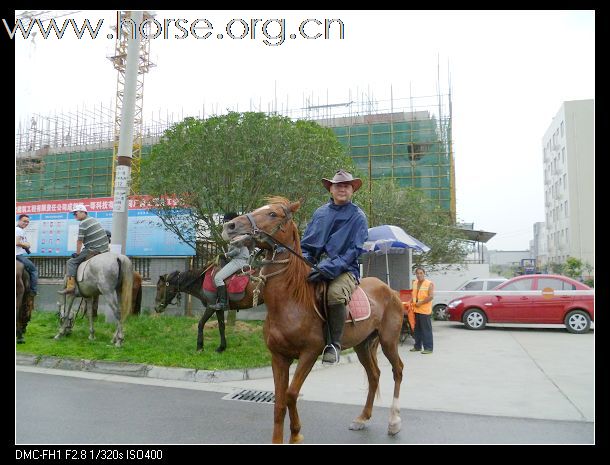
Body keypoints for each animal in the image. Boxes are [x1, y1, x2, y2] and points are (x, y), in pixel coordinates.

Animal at [223, 195, 404, 442]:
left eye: (273, 214)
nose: (230, 226)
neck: (291, 303)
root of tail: (390, 290)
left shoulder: (309, 353)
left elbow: (291, 394)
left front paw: (296, 434)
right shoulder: (279, 357)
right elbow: (279, 403)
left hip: (388, 341)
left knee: (398, 371)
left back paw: (394, 422)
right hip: (363, 344)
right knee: (374, 375)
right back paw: (362, 418)